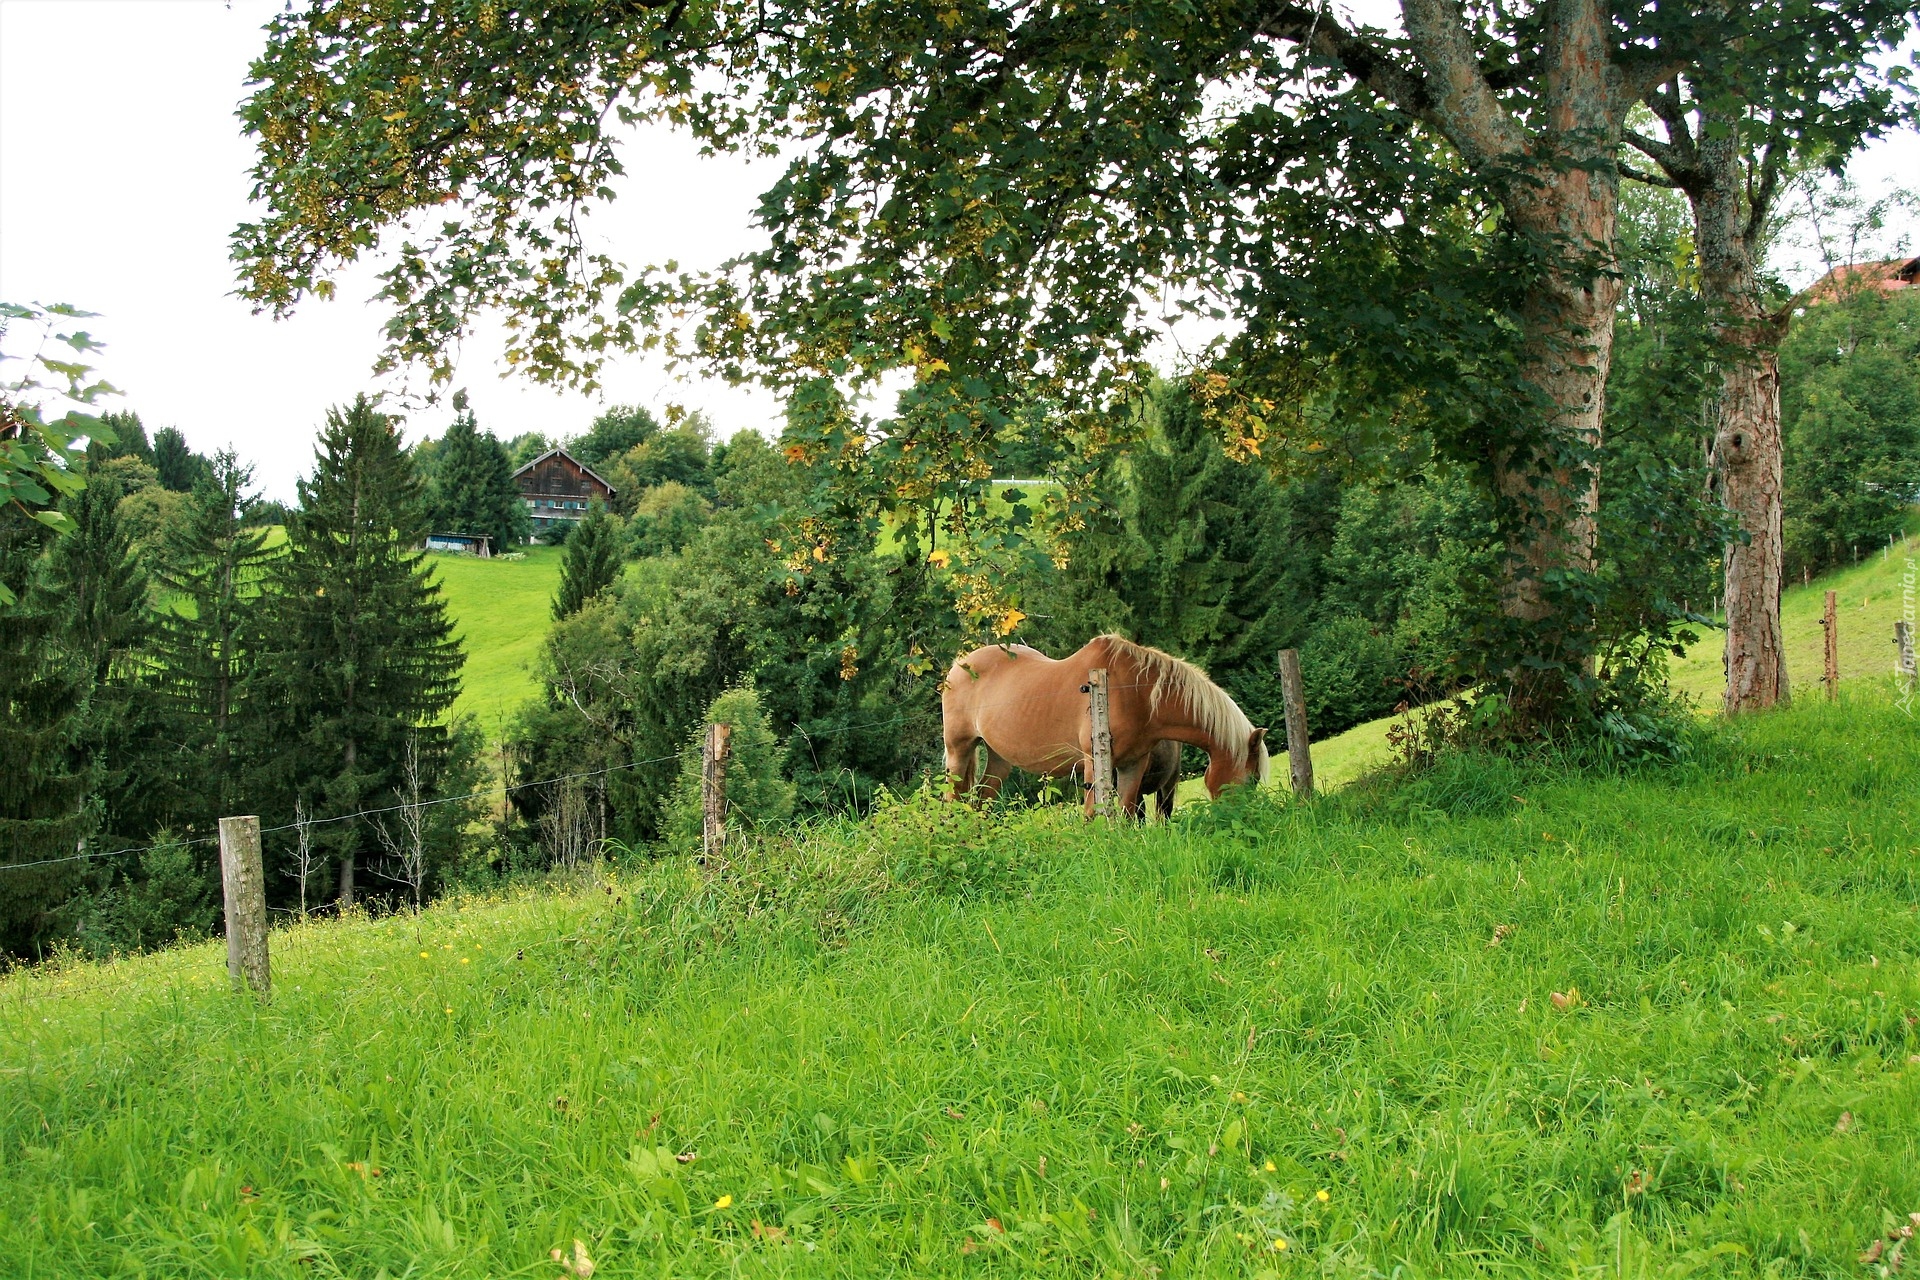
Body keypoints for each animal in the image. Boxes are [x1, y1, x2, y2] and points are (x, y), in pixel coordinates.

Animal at [940, 633, 1267, 821]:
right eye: (1250, 779)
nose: (1243, 816)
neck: (1136, 692)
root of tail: (959, 665)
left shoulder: (1133, 764)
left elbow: (1125, 812)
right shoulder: (1093, 762)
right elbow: (1091, 813)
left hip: (999, 758)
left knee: (981, 801)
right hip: (959, 750)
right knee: (954, 799)